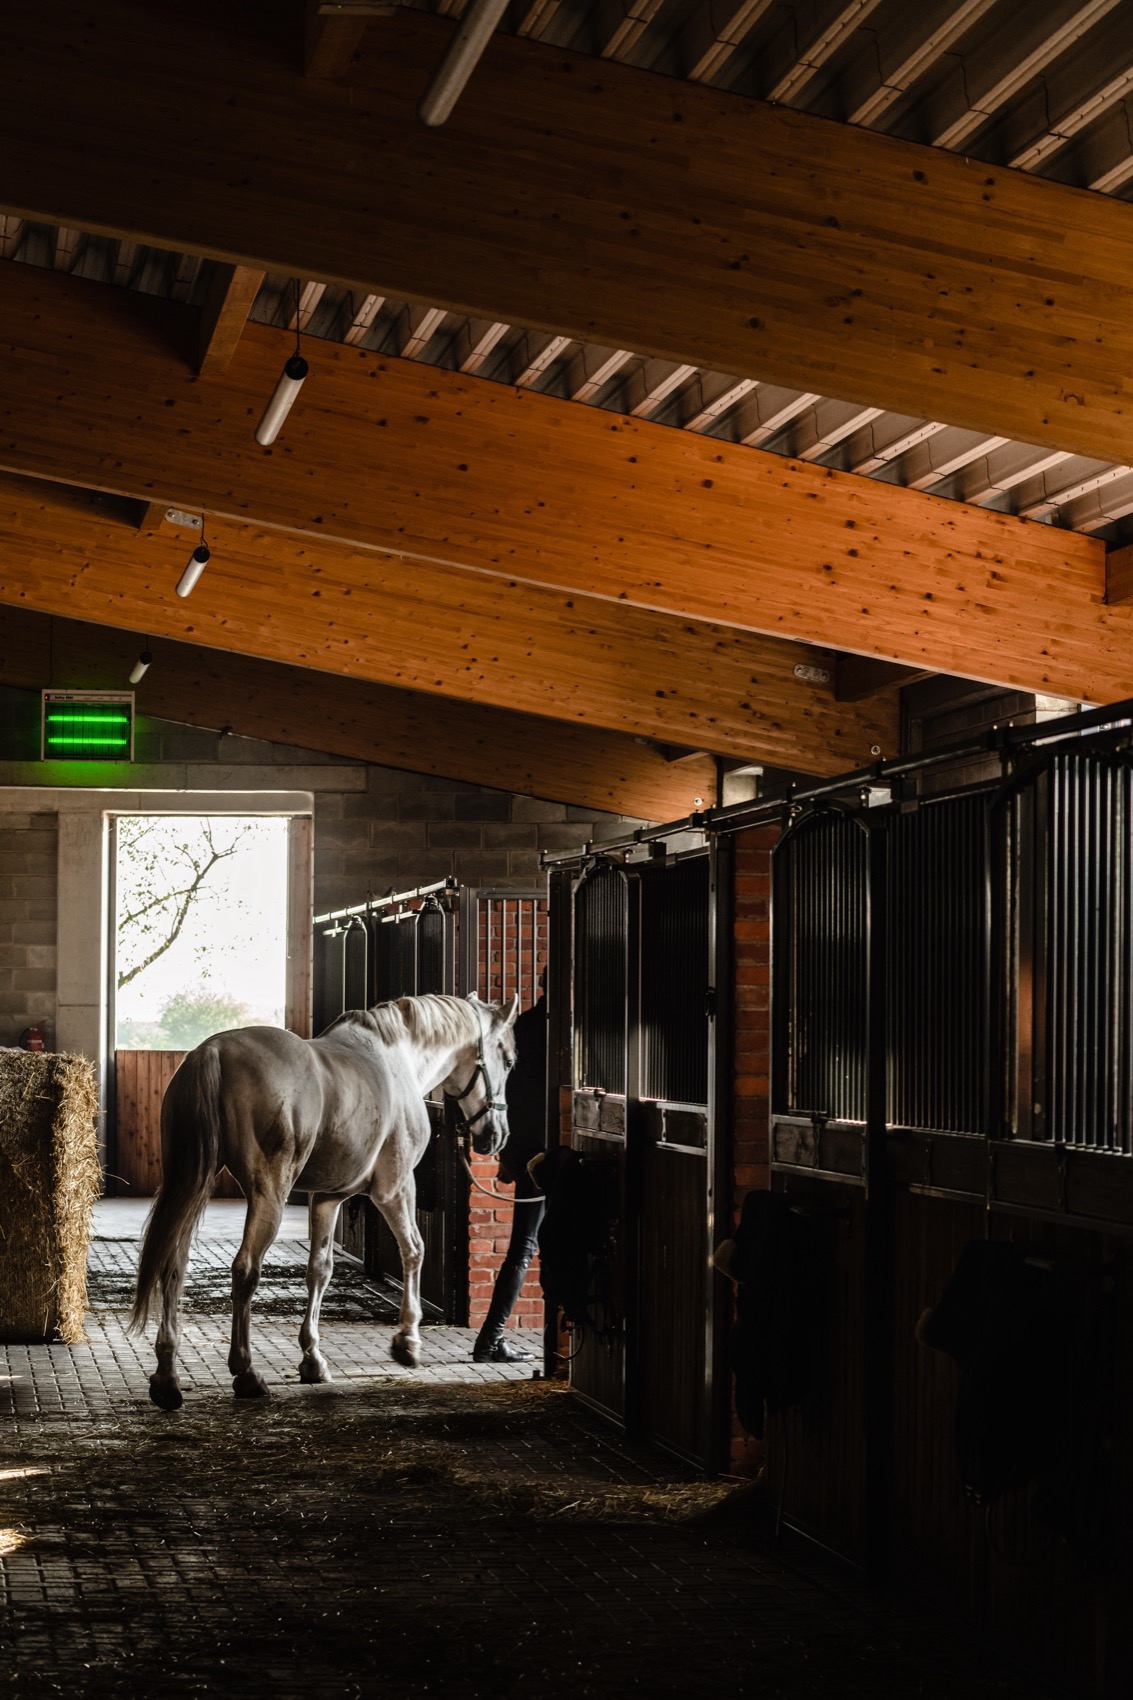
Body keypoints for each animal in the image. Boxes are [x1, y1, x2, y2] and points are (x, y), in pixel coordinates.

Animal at [130, 991, 519, 1410]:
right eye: (509, 1059)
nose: (496, 1136)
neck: (397, 1057)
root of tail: (212, 1052)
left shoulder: (328, 1199)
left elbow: (319, 1270)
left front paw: (313, 1360)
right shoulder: (396, 1188)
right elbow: (414, 1250)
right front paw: (407, 1342)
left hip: (190, 1182)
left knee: (173, 1265)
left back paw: (167, 1378)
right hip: (268, 1195)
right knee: (245, 1270)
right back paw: (246, 1373)